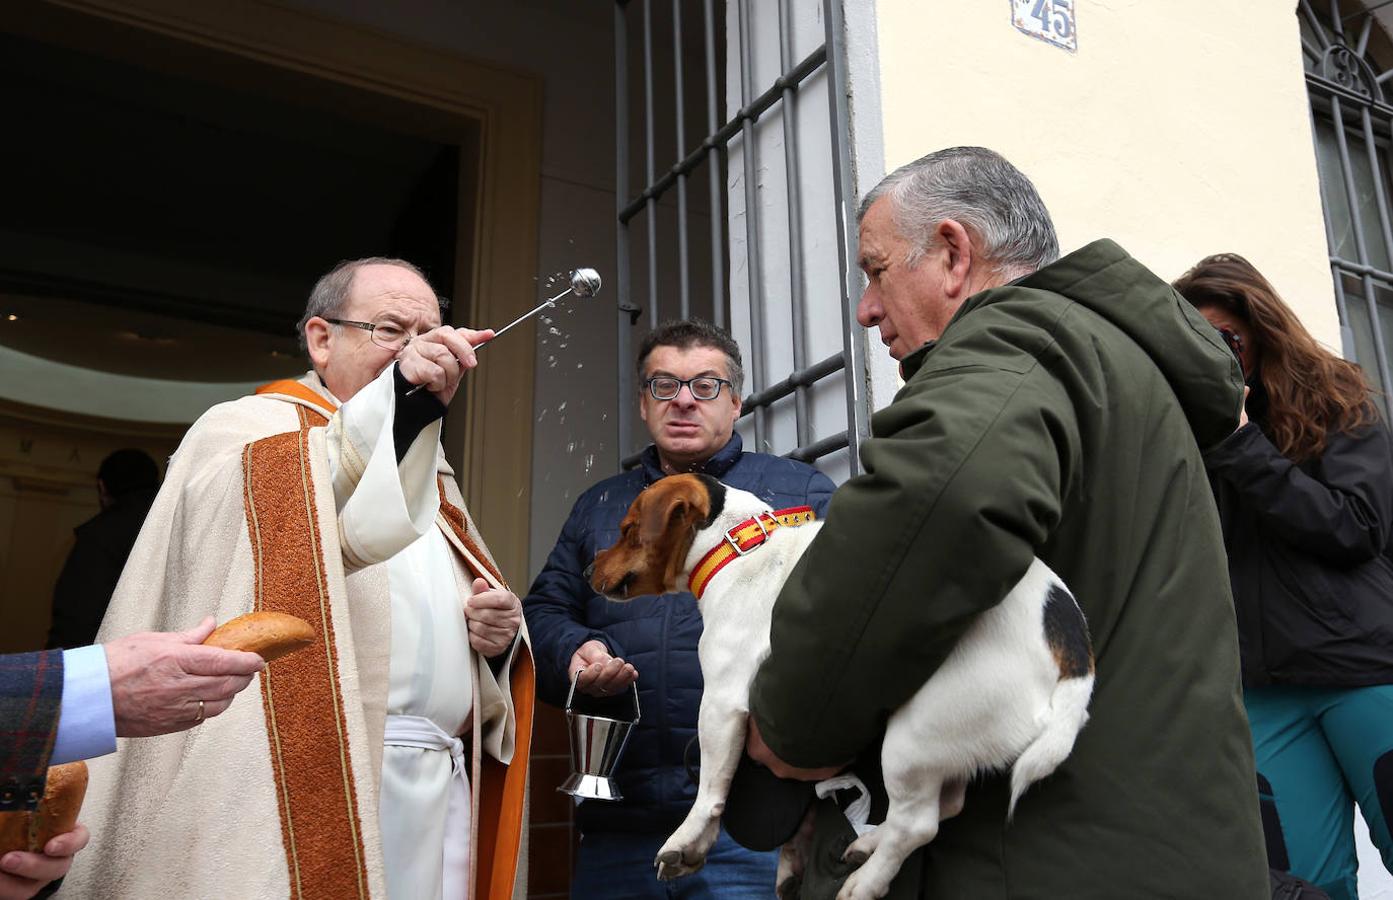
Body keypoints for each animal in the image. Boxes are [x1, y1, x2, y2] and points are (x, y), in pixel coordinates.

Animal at [593, 476, 1092, 897]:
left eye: (627, 529)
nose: (587, 567)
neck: (738, 548)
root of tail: (1073, 660)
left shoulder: (721, 701)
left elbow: (712, 788)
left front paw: (688, 839)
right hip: (941, 745)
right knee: (944, 806)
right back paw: (869, 845)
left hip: (911, 739)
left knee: (919, 825)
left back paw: (866, 882)